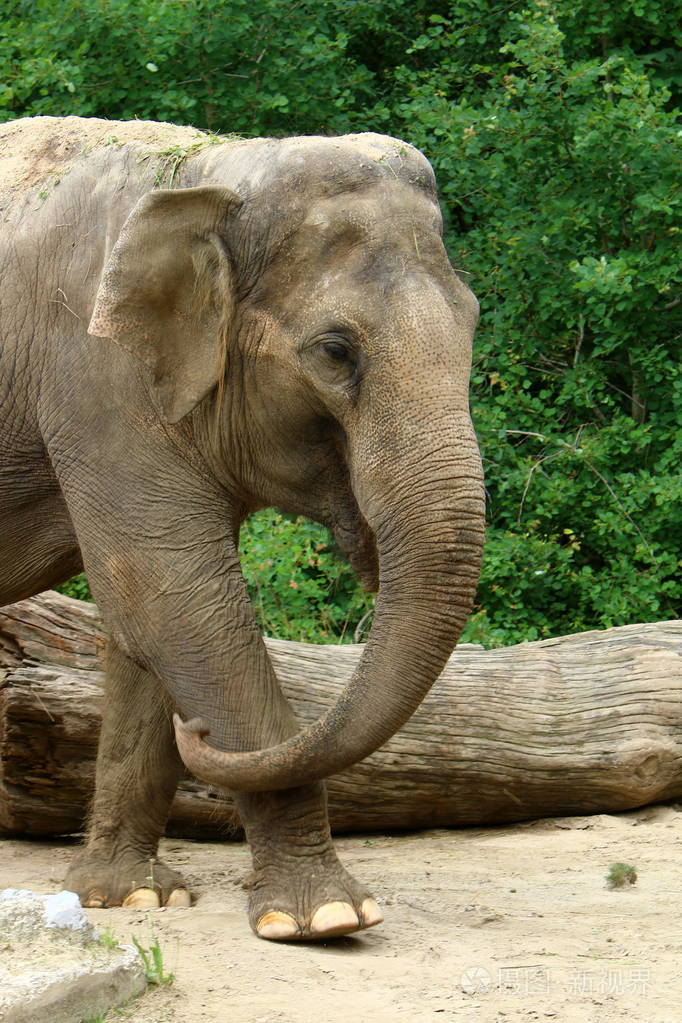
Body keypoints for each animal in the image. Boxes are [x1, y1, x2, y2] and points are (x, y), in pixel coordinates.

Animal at [0, 115, 485, 941]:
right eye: (335, 351)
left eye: (474, 321)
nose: (195, 732)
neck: (214, 168)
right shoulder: (94, 374)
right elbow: (176, 598)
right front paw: (327, 916)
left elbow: (142, 624)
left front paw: (133, 896)